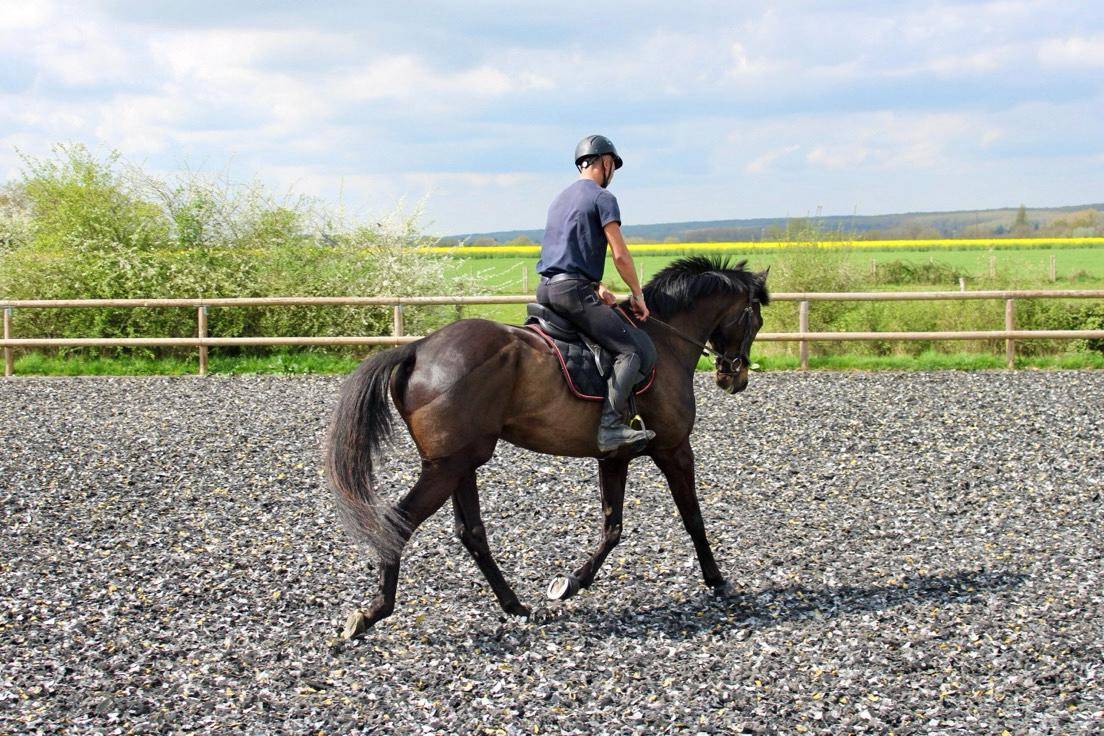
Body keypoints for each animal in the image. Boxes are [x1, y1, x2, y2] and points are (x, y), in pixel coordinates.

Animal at [326, 255, 769, 638]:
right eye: (755, 319)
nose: (735, 378)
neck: (664, 340)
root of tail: (417, 348)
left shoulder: (614, 456)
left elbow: (612, 527)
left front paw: (570, 583)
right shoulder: (675, 449)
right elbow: (693, 518)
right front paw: (718, 581)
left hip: (460, 464)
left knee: (471, 532)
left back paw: (516, 606)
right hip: (447, 466)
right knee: (400, 521)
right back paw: (373, 612)